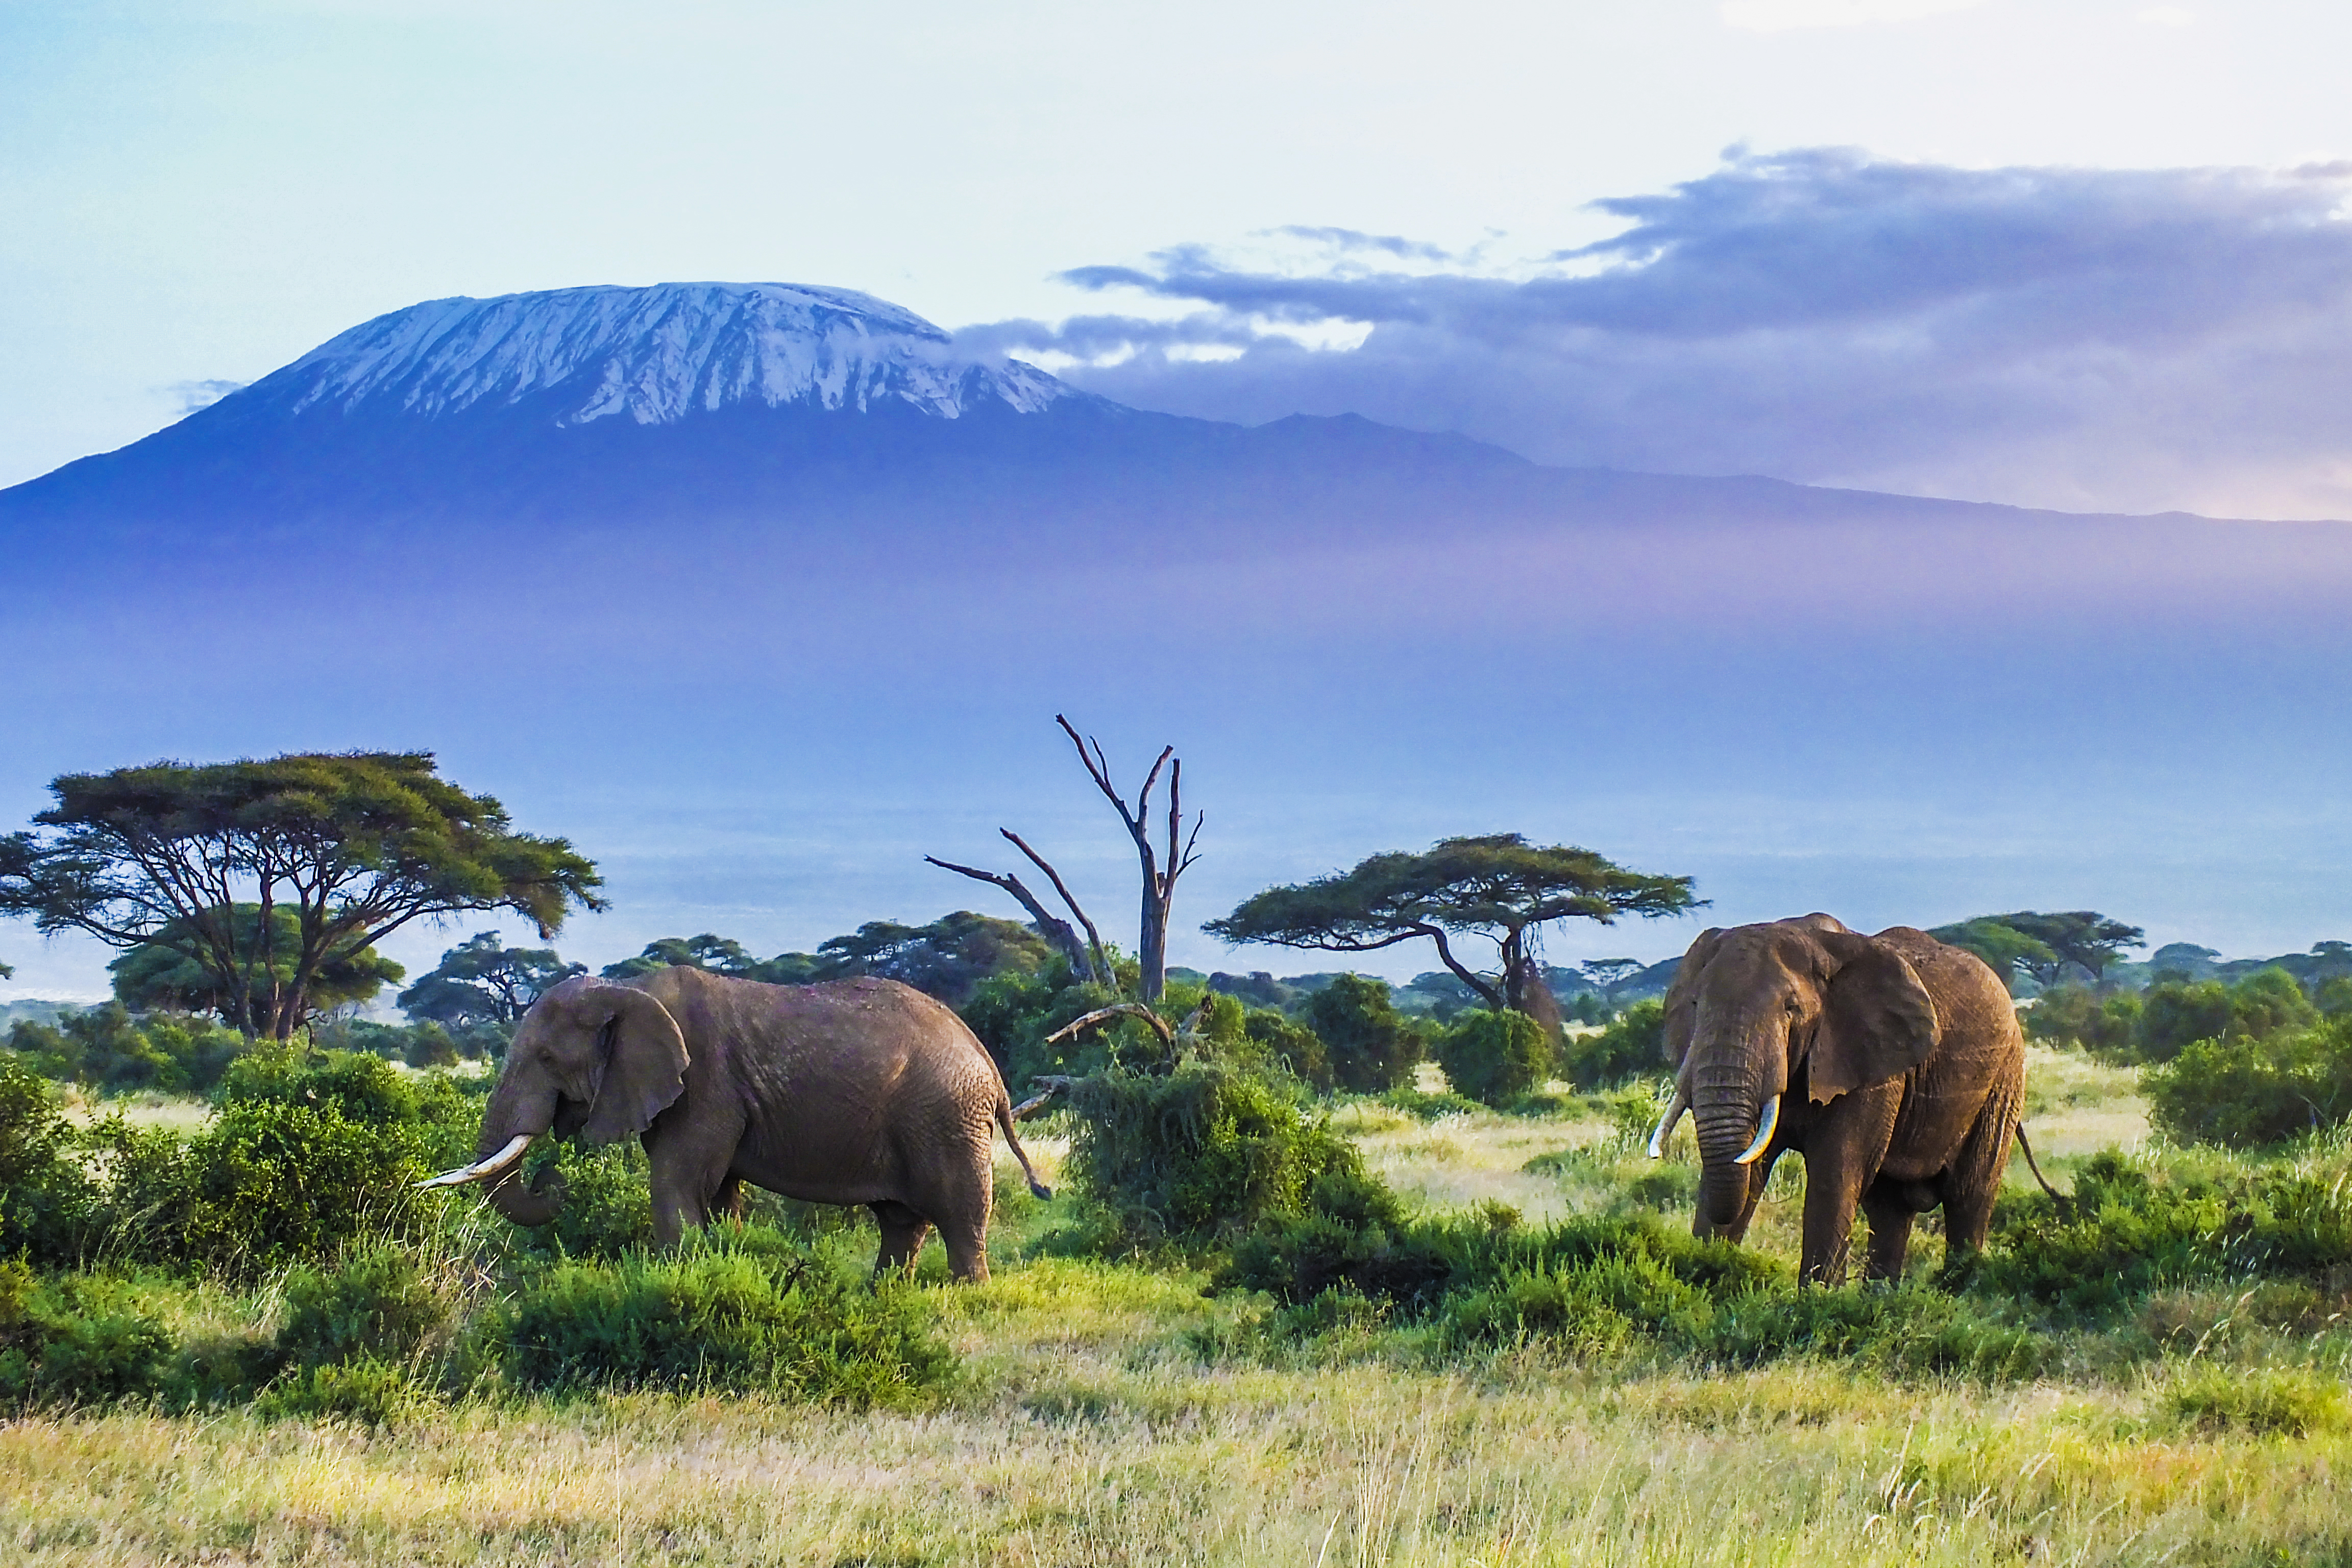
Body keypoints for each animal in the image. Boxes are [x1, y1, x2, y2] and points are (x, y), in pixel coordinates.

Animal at [419, 964, 1054, 1279]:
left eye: (548, 1059)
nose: (553, 1181)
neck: (627, 990)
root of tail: (989, 1066)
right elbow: (718, 1192)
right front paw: (721, 1261)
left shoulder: (704, 1085)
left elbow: (676, 1184)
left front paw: (677, 1281)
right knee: (901, 1220)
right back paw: (884, 1295)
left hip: (946, 1116)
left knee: (959, 1212)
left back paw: (967, 1295)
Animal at [1646, 921, 2032, 1288]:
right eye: (1696, 1006)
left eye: (1791, 1009)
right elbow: (1750, 1168)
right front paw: (1706, 1280)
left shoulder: (1869, 1066)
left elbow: (1836, 1174)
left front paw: (1816, 1301)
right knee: (1890, 1208)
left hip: (2004, 1081)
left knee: (1968, 1197)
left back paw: (1955, 1291)